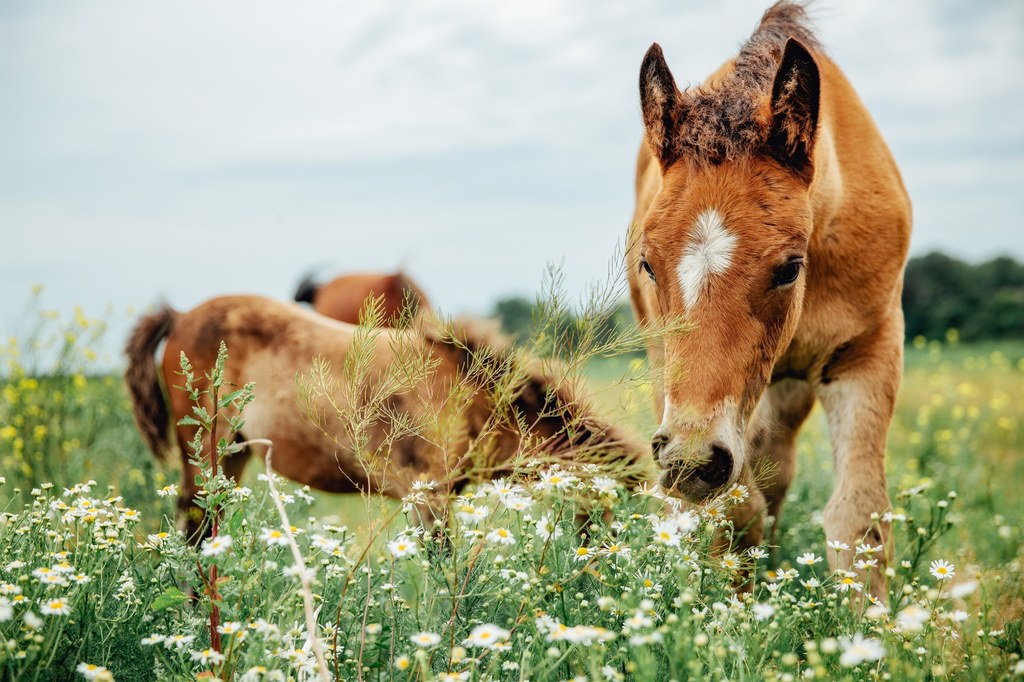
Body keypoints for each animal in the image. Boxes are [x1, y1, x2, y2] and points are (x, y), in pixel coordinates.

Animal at [125, 292, 647, 536]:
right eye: (607, 514)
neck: (467, 393)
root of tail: (181, 316)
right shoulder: (426, 496)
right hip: (205, 456)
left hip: (234, 456)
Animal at [622, 1, 913, 593]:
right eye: (648, 264)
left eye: (789, 268)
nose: (690, 461)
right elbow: (735, 514)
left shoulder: (868, 352)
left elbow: (859, 518)